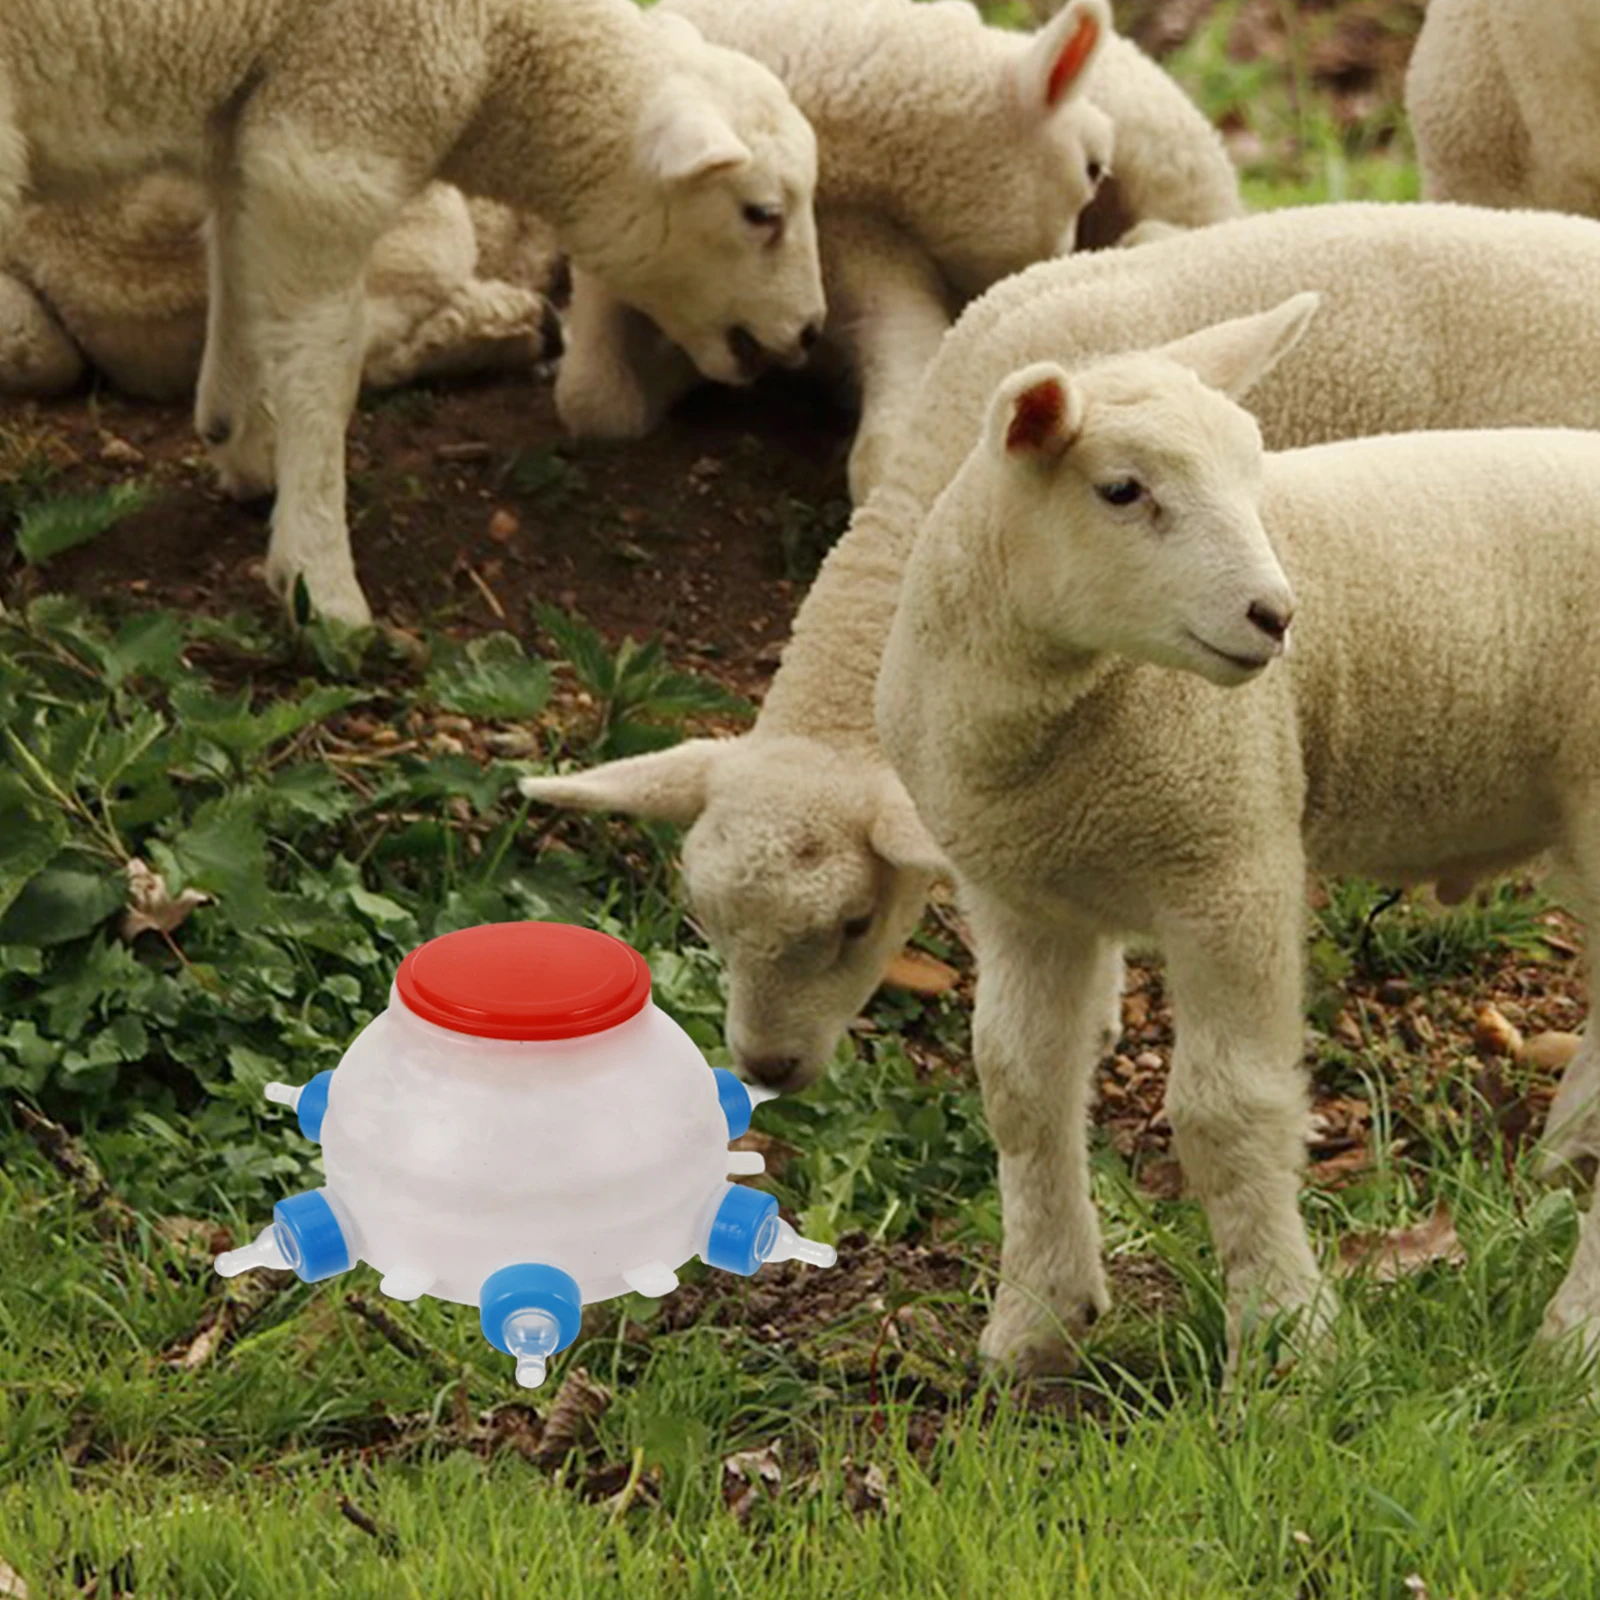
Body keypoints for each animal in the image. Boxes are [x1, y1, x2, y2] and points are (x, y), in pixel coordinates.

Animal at [871, 295, 1600, 1376]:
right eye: (1122, 491)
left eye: (1257, 475)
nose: (1277, 615)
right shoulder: (1018, 894)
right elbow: (1020, 1090)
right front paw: (1037, 1320)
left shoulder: (1228, 857)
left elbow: (1227, 1110)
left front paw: (1289, 1337)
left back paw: (1572, 1336)